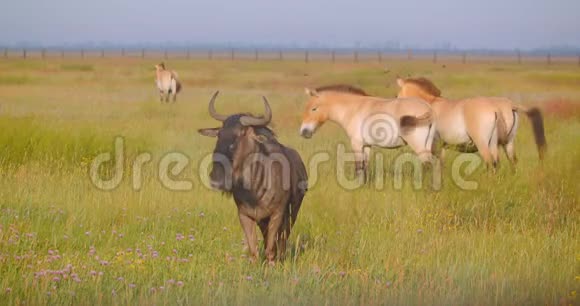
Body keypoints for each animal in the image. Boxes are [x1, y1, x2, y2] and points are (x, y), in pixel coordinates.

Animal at [198, 91, 308, 262]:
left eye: (241, 134)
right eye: (220, 134)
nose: (217, 178)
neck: (255, 189)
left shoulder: (277, 214)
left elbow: (271, 248)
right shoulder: (246, 216)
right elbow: (254, 249)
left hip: (293, 211)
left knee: (283, 239)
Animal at [300, 84, 436, 179]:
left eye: (314, 109)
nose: (303, 132)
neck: (353, 109)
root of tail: (428, 108)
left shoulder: (356, 144)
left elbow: (358, 168)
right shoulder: (366, 145)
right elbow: (365, 167)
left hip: (418, 145)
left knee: (428, 164)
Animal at [396, 76, 548, 167]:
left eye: (397, 96)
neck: (430, 104)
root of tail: (510, 105)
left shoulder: (434, 145)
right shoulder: (443, 146)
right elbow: (442, 164)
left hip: (483, 144)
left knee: (490, 163)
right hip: (507, 143)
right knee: (511, 162)